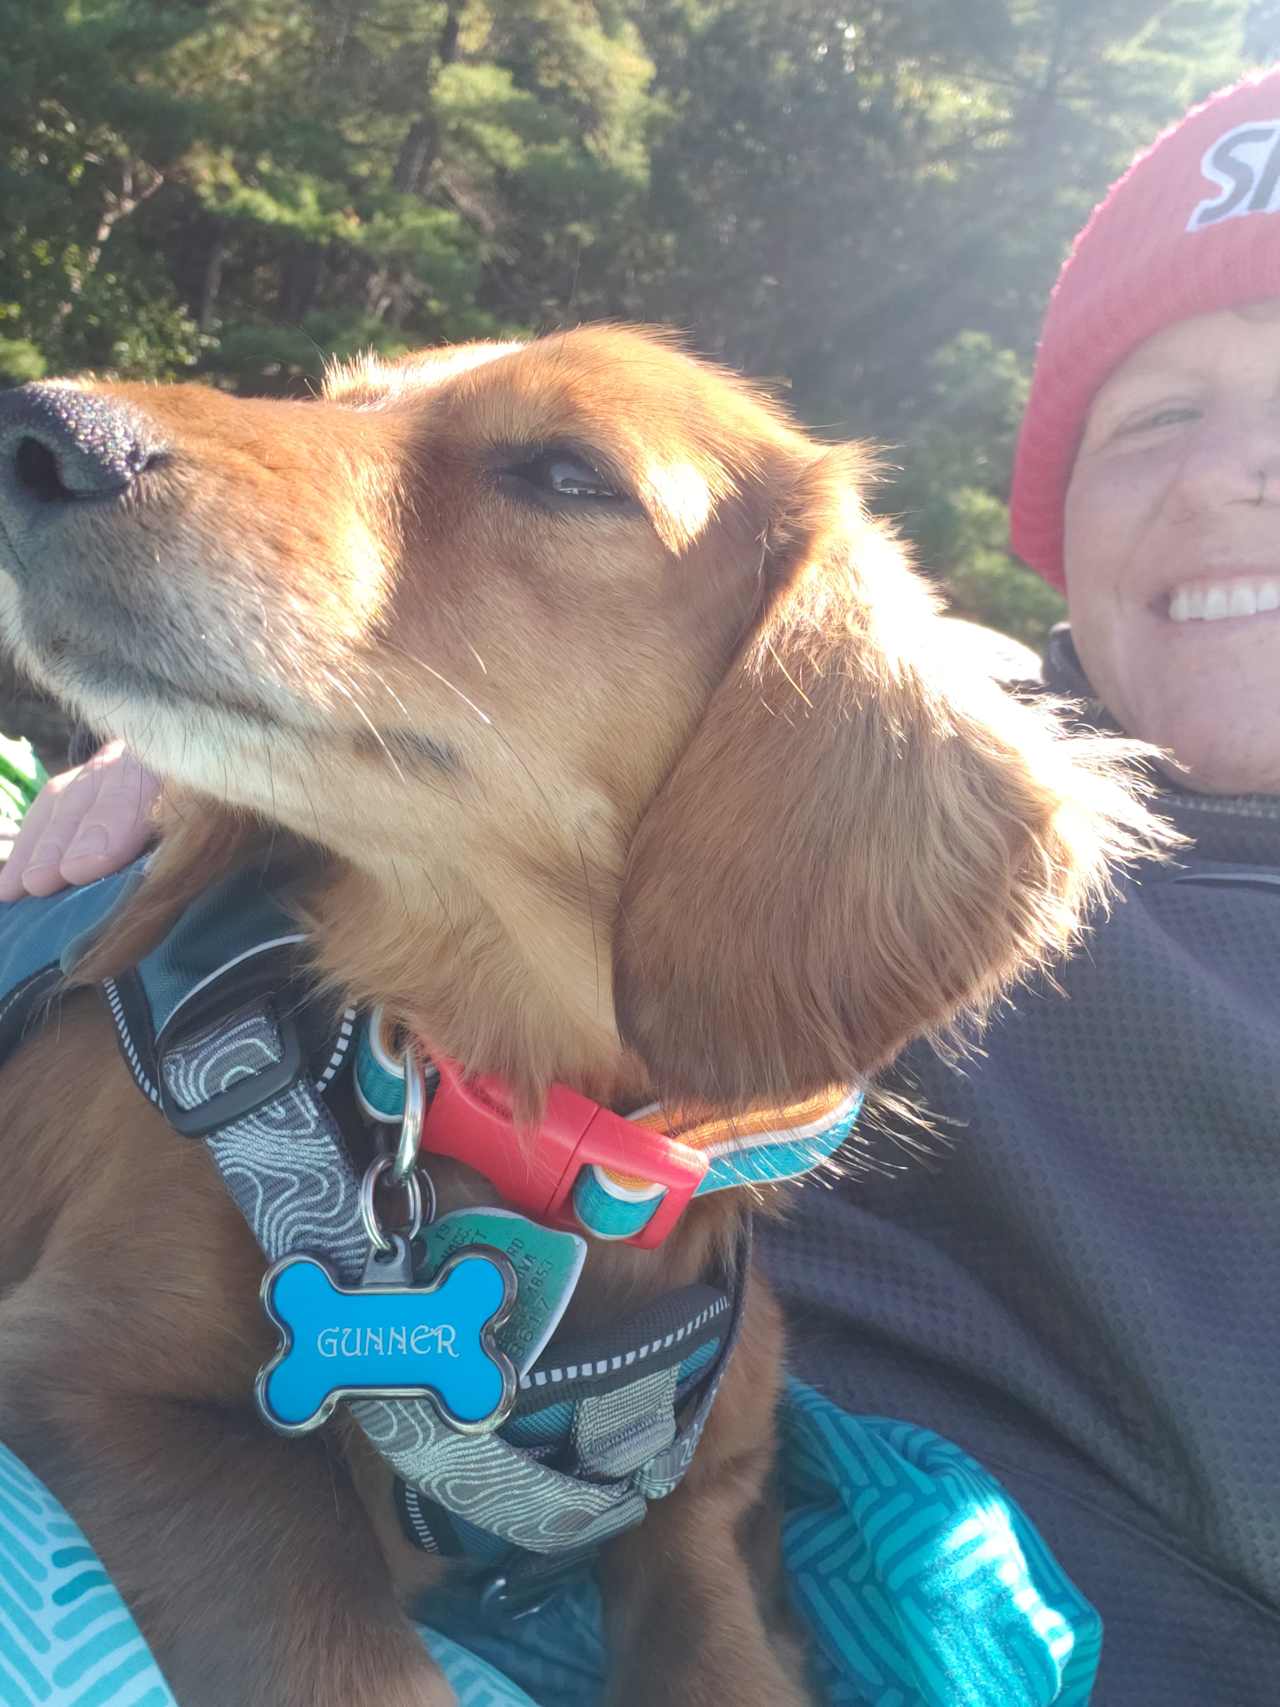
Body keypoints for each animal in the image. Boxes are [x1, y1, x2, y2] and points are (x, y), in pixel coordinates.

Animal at [0, 322, 1160, 1707]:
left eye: (566, 473)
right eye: (340, 402)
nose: (42, 430)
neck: (522, 1138)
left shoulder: (706, 1507)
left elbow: (724, 1660)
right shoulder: (98, 1375)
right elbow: (349, 1641)